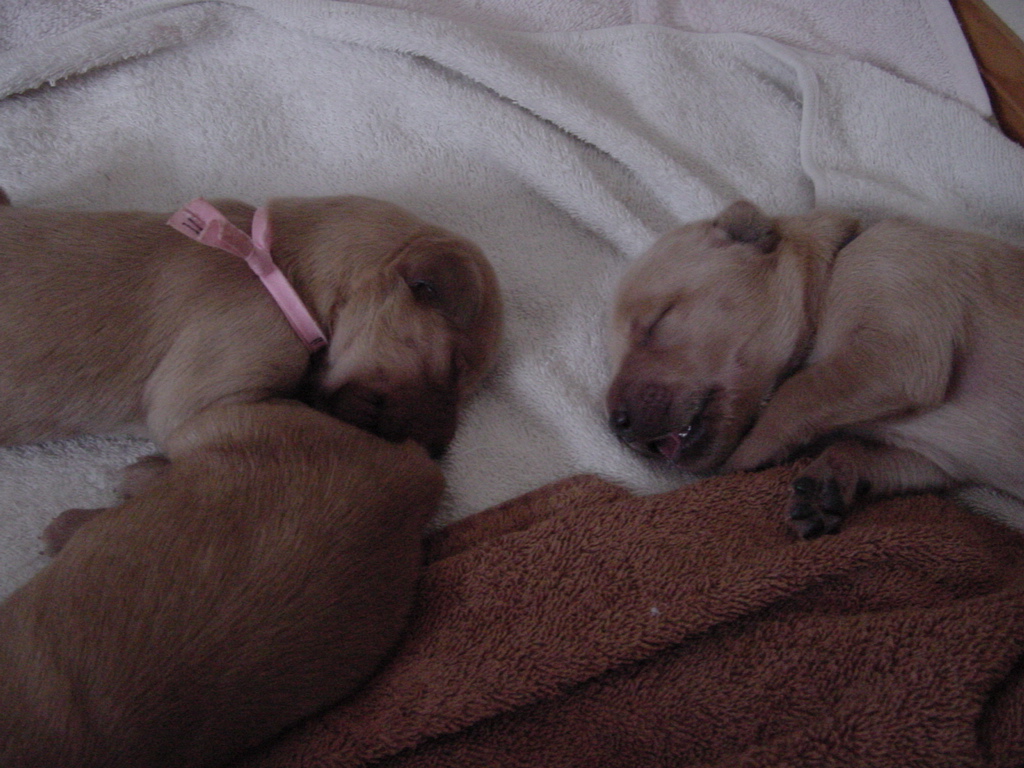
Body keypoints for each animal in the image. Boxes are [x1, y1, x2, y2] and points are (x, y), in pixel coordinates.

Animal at [602, 201, 1024, 536]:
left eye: (657, 322)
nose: (616, 425)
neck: (836, 266)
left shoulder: (898, 347)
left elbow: (795, 392)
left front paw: (742, 460)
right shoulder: (929, 461)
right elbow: (856, 448)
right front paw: (827, 484)